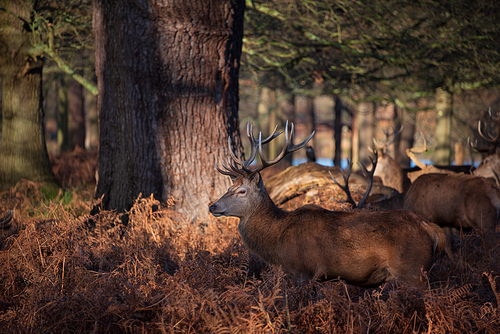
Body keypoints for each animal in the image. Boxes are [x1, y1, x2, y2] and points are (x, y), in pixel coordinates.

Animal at [209, 121, 444, 288]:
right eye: (230, 187)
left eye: (242, 191)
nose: (213, 206)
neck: (277, 241)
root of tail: (431, 229)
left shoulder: (302, 271)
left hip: (412, 271)